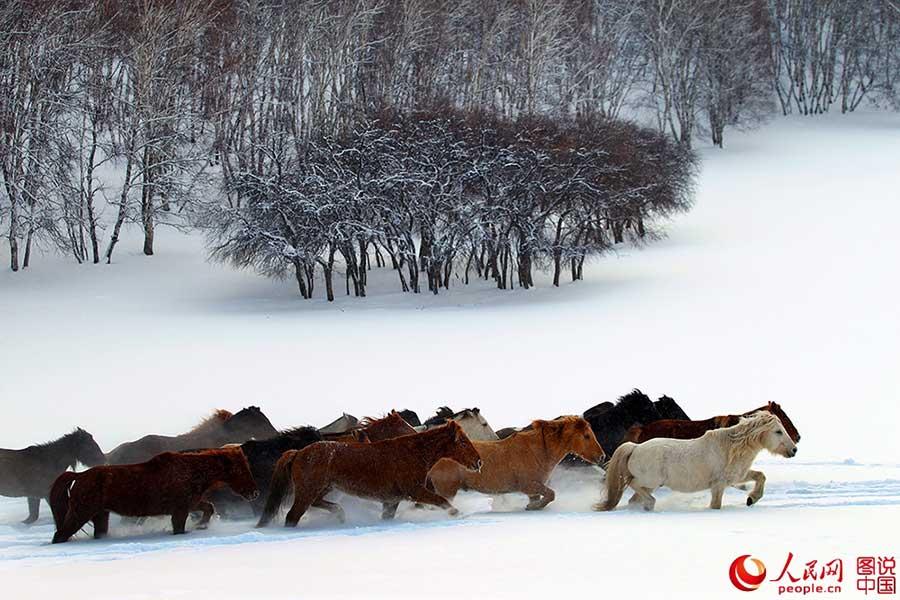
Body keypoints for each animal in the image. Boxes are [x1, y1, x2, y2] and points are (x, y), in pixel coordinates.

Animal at [49, 447, 258, 543]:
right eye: (240, 469)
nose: (255, 492)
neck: (191, 471)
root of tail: (79, 475)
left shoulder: (191, 504)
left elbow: (209, 508)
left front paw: (202, 525)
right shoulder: (180, 510)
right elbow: (179, 528)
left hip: (100, 515)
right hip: (80, 514)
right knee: (60, 535)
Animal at [257, 421, 482, 527]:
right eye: (463, 442)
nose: (479, 462)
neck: (413, 453)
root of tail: (298, 452)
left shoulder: (392, 500)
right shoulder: (415, 491)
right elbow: (442, 501)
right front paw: (457, 514)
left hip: (323, 489)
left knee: (319, 504)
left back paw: (340, 515)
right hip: (308, 491)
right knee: (292, 516)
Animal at [428, 417, 605, 511]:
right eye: (586, 436)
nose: (602, 457)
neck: (540, 450)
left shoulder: (533, 489)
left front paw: (533, 506)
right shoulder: (528, 485)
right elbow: (551, 494)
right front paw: (533, 507)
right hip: (447, 490)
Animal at [594, 412, 798, 512]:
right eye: (778, 431)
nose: (794, 450)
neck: (731, 448)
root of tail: (635, 447)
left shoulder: (736, 477)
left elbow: (760, 476)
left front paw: (751, 499)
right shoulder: (719, 484)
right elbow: (716, 505)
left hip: (651, 485)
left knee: (633, 498)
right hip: (650, 481)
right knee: (633, 484)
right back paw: (651, 504)